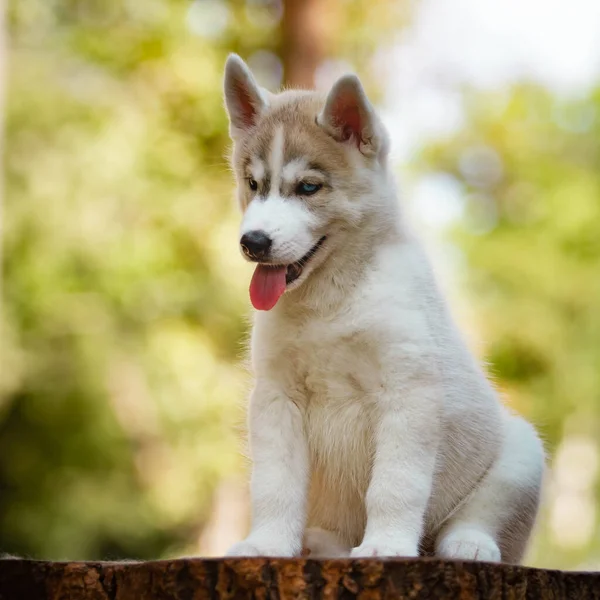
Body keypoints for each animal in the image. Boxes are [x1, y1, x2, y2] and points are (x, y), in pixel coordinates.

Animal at [223, 52, 548, 564]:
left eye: (308, 188)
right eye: (253, 184)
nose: (252, 242)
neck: (332, 299)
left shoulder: (408, 394)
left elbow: (394, 486)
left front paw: (387, 546)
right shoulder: (277, 397)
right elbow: (276, 484)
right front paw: (268, 543)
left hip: (522, 452)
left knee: (476, 518)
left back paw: (469, 544)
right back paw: (323, 544)